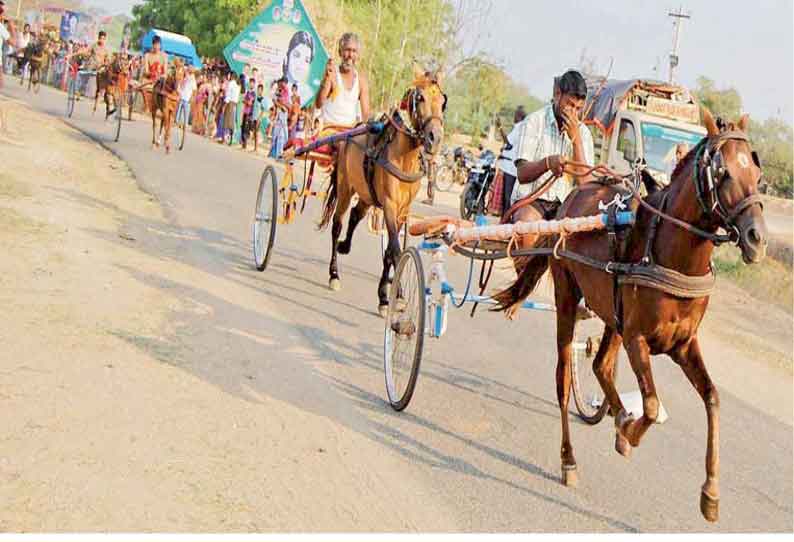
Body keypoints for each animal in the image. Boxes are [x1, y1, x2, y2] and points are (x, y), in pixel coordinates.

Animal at [320, 65, 448, 316]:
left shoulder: (402, 210)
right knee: (337, 224)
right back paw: (334, 273)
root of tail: (348, 133)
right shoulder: (389, 205)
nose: (435, 138)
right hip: (346, 188)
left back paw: (345, 246)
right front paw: (393, 296)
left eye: (443, 101)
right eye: (420, 97)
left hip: (367, 194)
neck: (405, 157)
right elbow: (396, 249)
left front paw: (389, 295)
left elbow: (389, 251)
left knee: (356, 215)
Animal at [492, 109, 764, 524]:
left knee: (601, 364)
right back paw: (571, 458)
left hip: (612, 313)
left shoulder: (683, 343)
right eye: (723, 173)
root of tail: (570, 199)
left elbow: (713, 398)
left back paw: (618, 417)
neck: (668, 252)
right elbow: (650, 405)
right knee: (563, 379)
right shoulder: (638, 338)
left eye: (758, 173)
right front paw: (632, 433)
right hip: (568, 295)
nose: (757, 238)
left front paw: (711, 493)